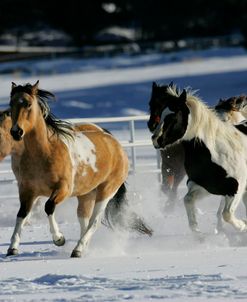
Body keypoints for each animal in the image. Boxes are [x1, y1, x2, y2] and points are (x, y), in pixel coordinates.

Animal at [6, 80, 151, 258]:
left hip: (106, 191)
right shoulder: (27, 191)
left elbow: (48, 207)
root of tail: (114, 143)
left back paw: (78, 249)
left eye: (28, 104)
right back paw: (83, 247)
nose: (16, 132)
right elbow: (21, 214)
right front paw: (12, 247)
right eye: (11, 104)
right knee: (84, 220)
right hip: (86, 195)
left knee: (94, 222)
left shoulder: (63, 189)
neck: (45, 152)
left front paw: (59, 239)